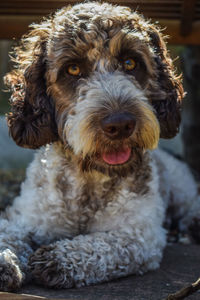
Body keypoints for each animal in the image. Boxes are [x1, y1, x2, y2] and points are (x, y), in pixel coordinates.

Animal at [1, 0, 200, 290]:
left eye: (130, 63)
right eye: (73, 69)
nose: (120, 124)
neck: (89, 177)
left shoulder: (139, 235)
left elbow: (102, 246)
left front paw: (58, 258)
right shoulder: (26, 216)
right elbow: (9, 234)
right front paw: (5, 260)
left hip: (180, 186)